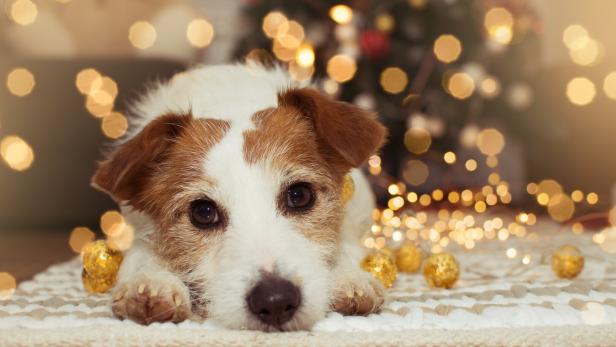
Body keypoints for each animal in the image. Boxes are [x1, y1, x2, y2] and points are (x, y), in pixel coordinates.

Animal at [92, 63, 388, 332]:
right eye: (203, 212)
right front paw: (152, 281)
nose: (275, 300)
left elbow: (345, 245)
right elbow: (141, 253)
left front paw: (347, 278)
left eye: (299, 195)